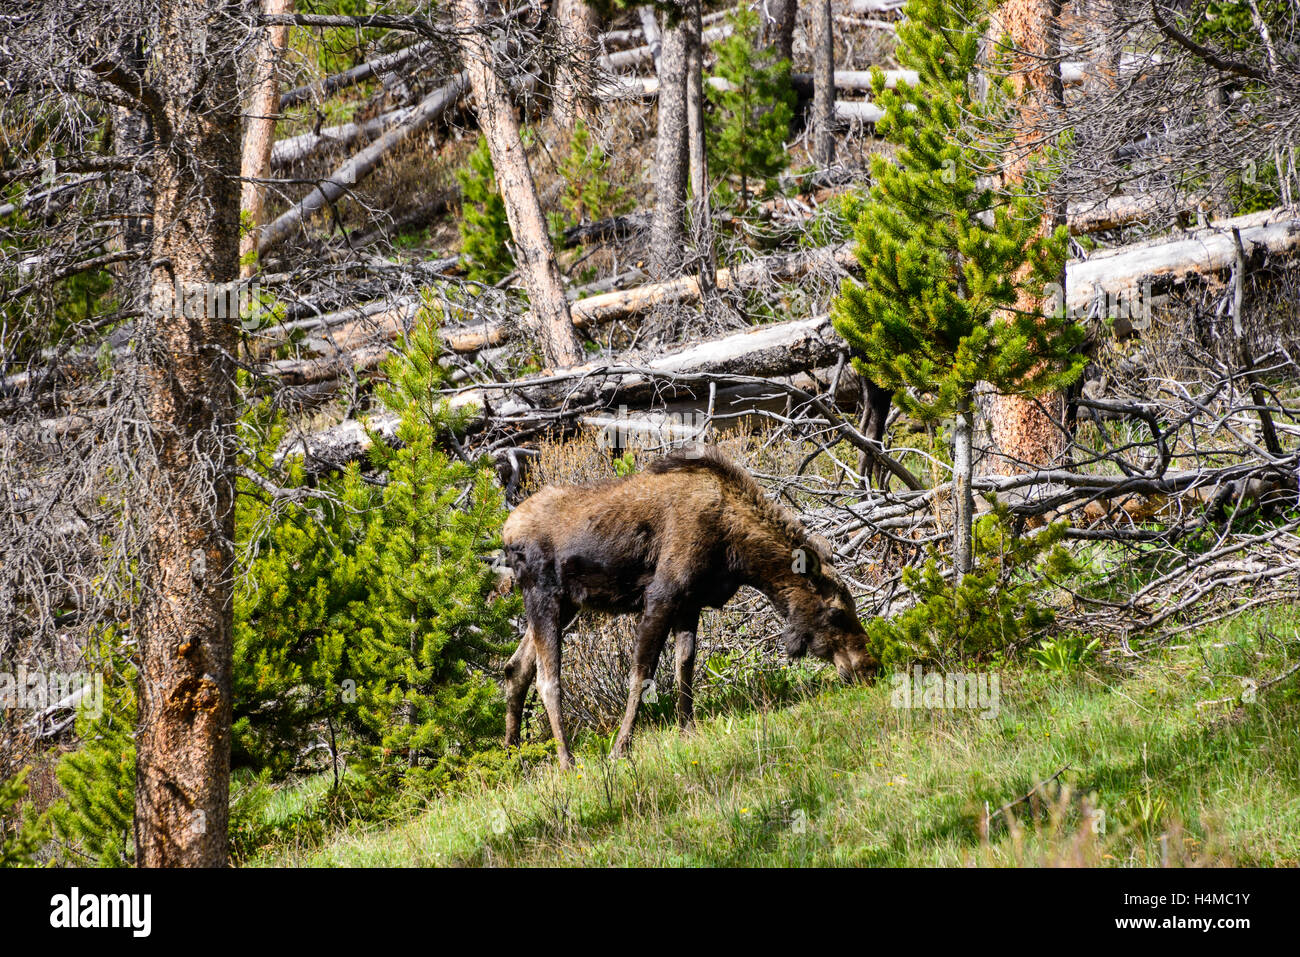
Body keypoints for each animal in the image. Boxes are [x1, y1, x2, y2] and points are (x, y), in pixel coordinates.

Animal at [501, 444, 878, 764]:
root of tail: (505, 534)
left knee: (515, 668)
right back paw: (566, 760)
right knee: (547, 679)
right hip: (543, 595)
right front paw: (621, 748)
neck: (736, 552)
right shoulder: (662, 595)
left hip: (567, 604)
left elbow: (685, 665)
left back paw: (513, 756)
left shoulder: (689, 603)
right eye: (836, 612)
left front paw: (687, 730)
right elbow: (642, 673)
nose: (869, 666)